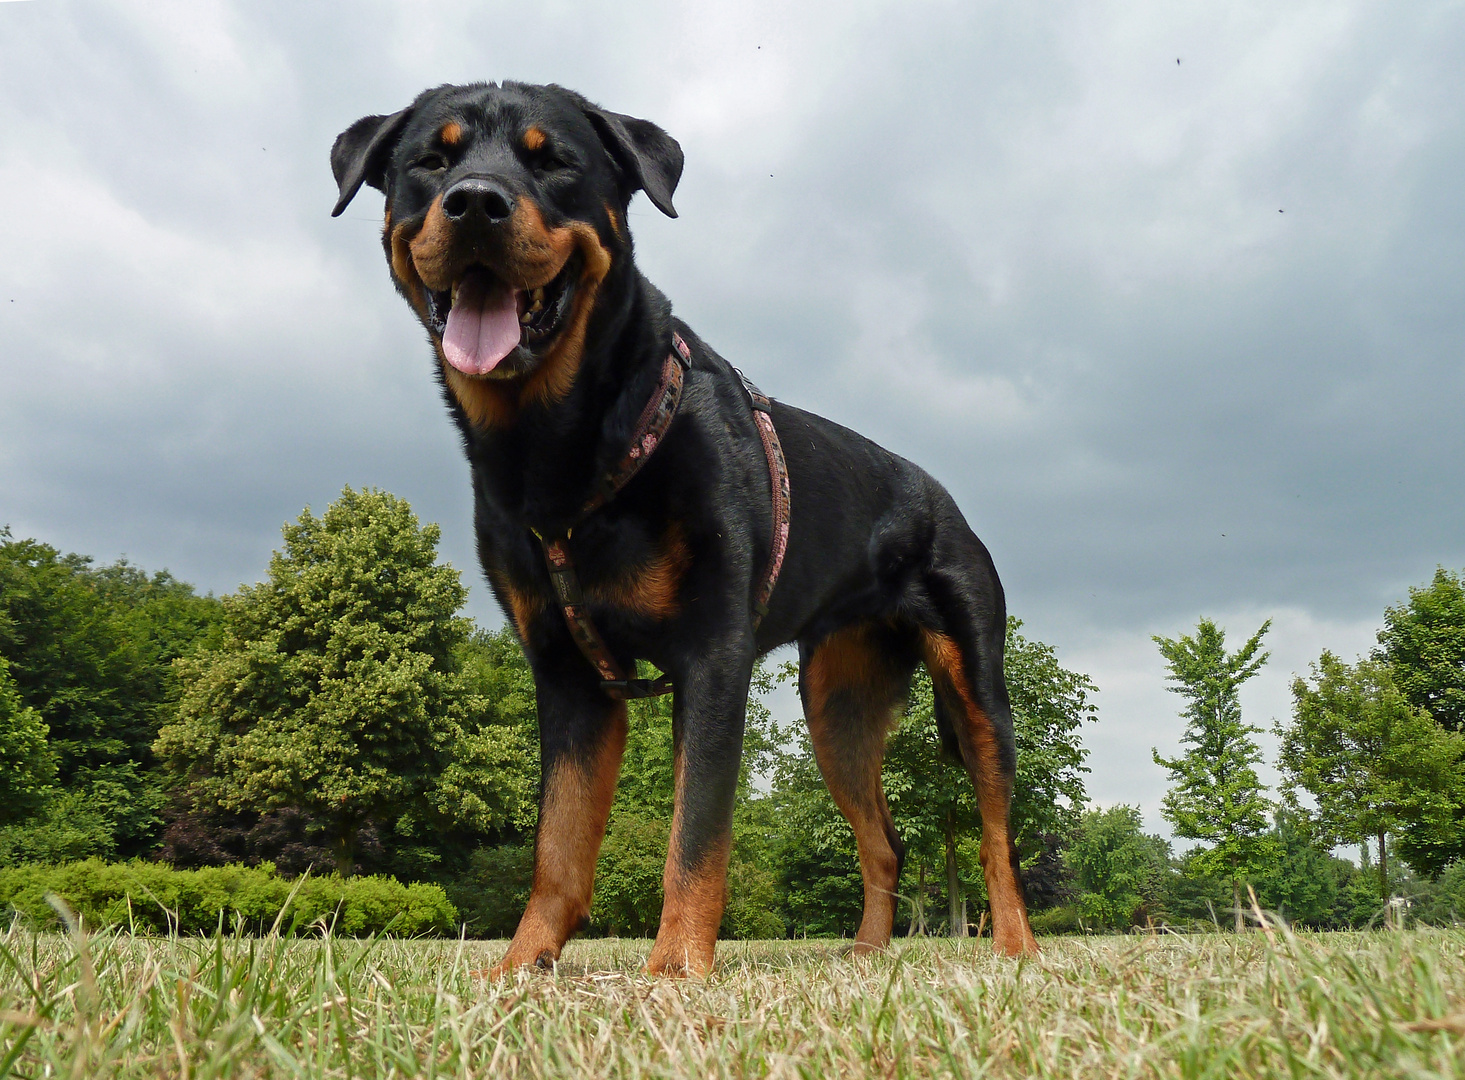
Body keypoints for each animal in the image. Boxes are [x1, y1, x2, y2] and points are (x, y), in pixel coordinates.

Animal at [332, 82, 1043, 978]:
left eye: (554, 161)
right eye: (432, 159)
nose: (476, 203)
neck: (561, 441)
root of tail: (940, 495)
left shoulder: (711, 657)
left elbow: (694, 833)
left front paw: (674, 967)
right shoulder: (568, 674)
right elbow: (558, 844)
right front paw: (521, 966)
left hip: (975, 685)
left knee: (995, 835)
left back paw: (1016, 948)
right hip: (836, 706)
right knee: (883, 840)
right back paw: (864, 953)